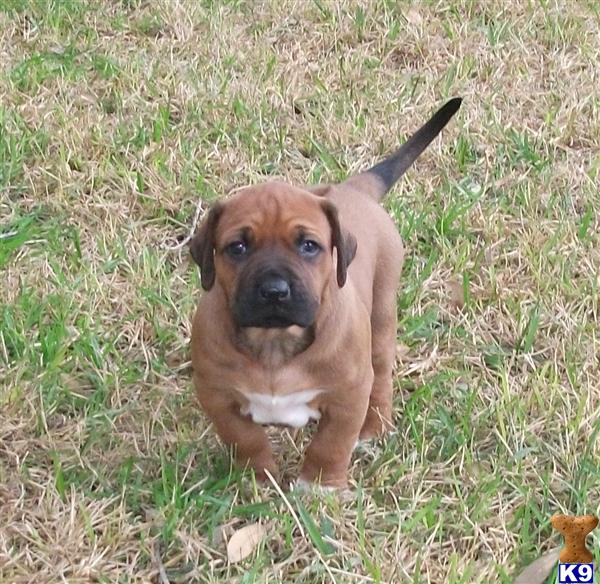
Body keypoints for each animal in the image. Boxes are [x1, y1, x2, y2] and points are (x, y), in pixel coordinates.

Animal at [190, 97, 462, 488]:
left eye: (308, 246)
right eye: (237, 247)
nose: (274, 291)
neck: (275, 342)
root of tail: (353, 189)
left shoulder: (348, 396)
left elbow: (331, 443)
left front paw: (319, 485)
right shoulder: (217, 395)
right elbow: (245, 438)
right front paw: (258, 477)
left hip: (381, 317)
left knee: (381, 376)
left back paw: (374, 428)